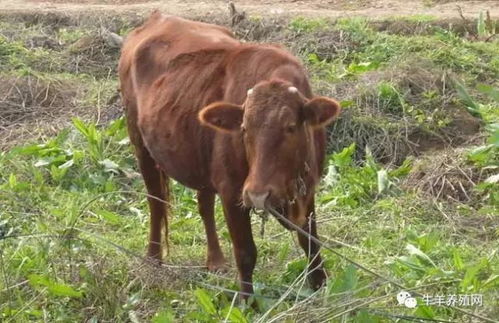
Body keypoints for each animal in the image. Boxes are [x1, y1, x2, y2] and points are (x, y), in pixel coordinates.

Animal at [119, 12, 342, 302]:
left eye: (291, 127)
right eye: (244, 128)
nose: (259, 195)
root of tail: (157, 19)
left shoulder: (308, 189)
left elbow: (310, 241)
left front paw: (320, 286)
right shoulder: (232, 192)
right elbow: (246, 252)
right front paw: (249, 303)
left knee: (203, 204)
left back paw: (215, 260)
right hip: (140, 144)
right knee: (156, 202)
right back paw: (153, 259)